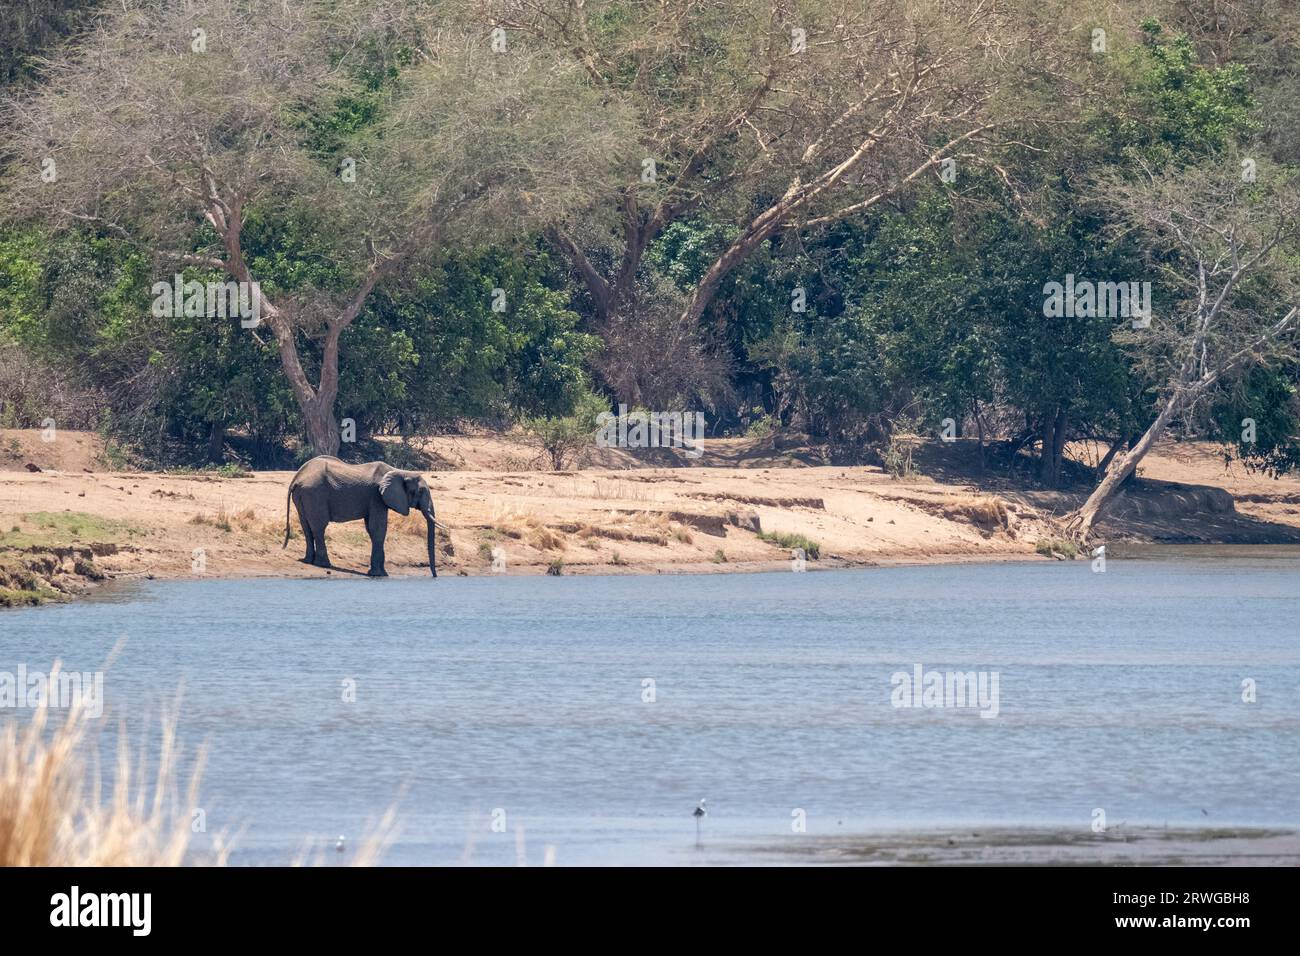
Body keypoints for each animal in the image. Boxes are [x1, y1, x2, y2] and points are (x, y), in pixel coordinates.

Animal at [282, 455, 439, 574]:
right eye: (420, 491)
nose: (434, 576)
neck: (400, 472)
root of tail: (296, 478)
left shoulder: (374, 499)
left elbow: (371, 529)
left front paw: (379, 573)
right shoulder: (376, 496)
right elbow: (378, 529)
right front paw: (379, 575)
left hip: (303, 495)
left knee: (306, 527)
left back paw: (308, 561)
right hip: (314, 493)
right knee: (319, 527)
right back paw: (324, 564)